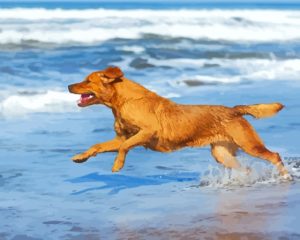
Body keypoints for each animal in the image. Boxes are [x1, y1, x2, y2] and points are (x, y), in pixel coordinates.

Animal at [68, 66, 290, 179]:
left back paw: (285, 176)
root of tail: (234, 110)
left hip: (249, 144)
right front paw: (81, 157)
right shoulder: (121, 137)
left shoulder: (147, 131)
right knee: (246, 168)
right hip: (221, 153)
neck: (123, 102)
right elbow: (98, 145)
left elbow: (124, 147)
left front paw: (117, 165)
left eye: (87, 81)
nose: (69, 85)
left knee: (274, 156)